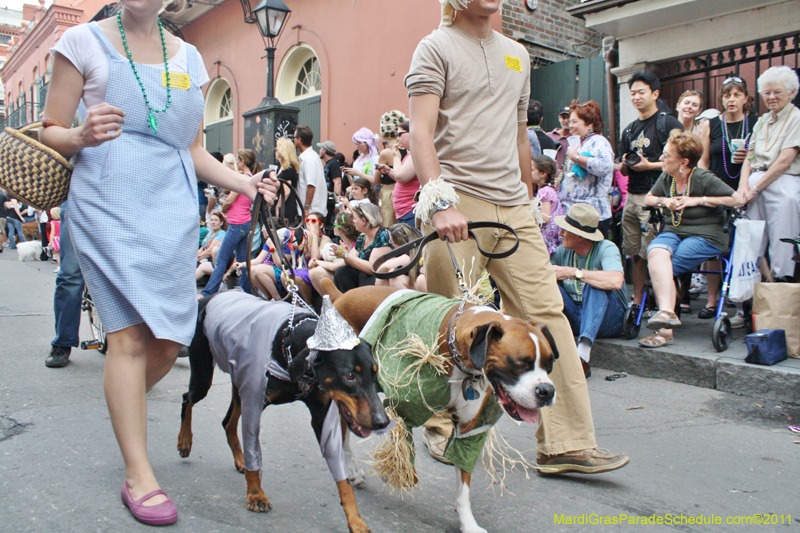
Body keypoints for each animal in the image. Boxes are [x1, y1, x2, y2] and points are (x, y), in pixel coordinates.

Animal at [177, 294, 390, 532]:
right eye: (349, 376)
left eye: (374, 373)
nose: (382, 422)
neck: (287, 345)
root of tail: (209, 297)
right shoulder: (254, 402)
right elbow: (254, 451)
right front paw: (256, 494)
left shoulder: (321, 416)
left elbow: (341, 478)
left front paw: (356, 519)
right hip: (204, 376)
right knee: (188, 398)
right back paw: (185, 441)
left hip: (238, 384)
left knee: (227, 422)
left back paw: (239, 459)